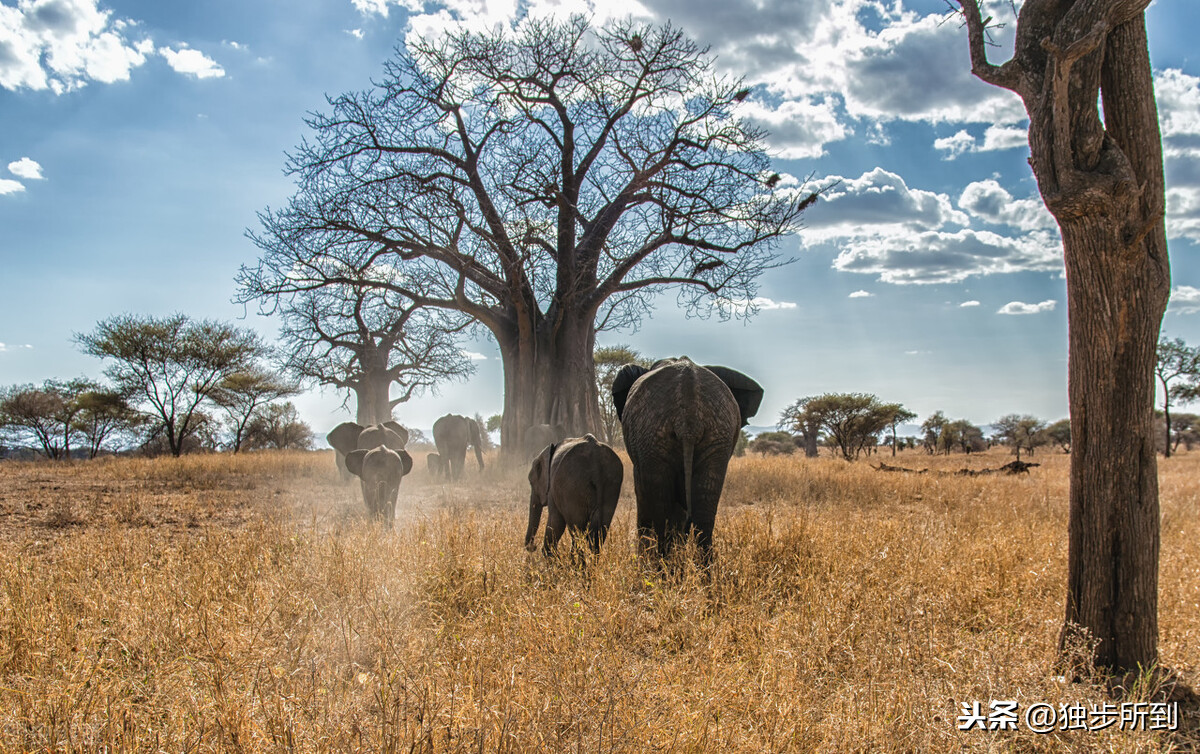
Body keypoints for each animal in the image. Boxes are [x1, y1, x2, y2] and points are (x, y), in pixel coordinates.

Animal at [614, 355, 763, 557]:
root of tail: (688, 418)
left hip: (652, 435)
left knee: (660, 507)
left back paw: (663, 563)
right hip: (716, 434)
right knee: (704, 513)